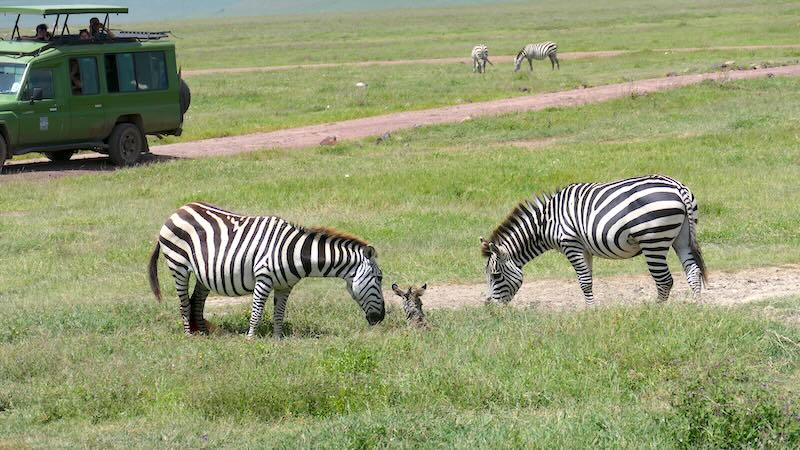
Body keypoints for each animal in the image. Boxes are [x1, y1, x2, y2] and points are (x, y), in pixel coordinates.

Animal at [147, 202, 385, 338]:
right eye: (379, 278)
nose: (381, 318)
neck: (293, 251)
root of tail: (178, 210)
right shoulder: (263, 279)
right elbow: (256, 313)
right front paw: (251, 340)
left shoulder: (285, 286)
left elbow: (279, 314)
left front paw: (278, 340)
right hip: (178, 265)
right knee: (184, 303)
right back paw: (189, 336)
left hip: (203, 273)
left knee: (197, 300)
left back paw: (205, 335)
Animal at [480, 175, 706, 306]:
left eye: (496, 275)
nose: (489, 307)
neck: (545, 223)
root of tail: (677, 187)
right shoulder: (584, 248)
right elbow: (588, 280)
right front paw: (591, 309)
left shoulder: (571, 244)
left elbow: (584, 282)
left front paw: (590, 312)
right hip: (682, 238)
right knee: (692, 271)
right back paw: (696, 307)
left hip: (653, 241)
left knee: (664, 280)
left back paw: (657, 311)